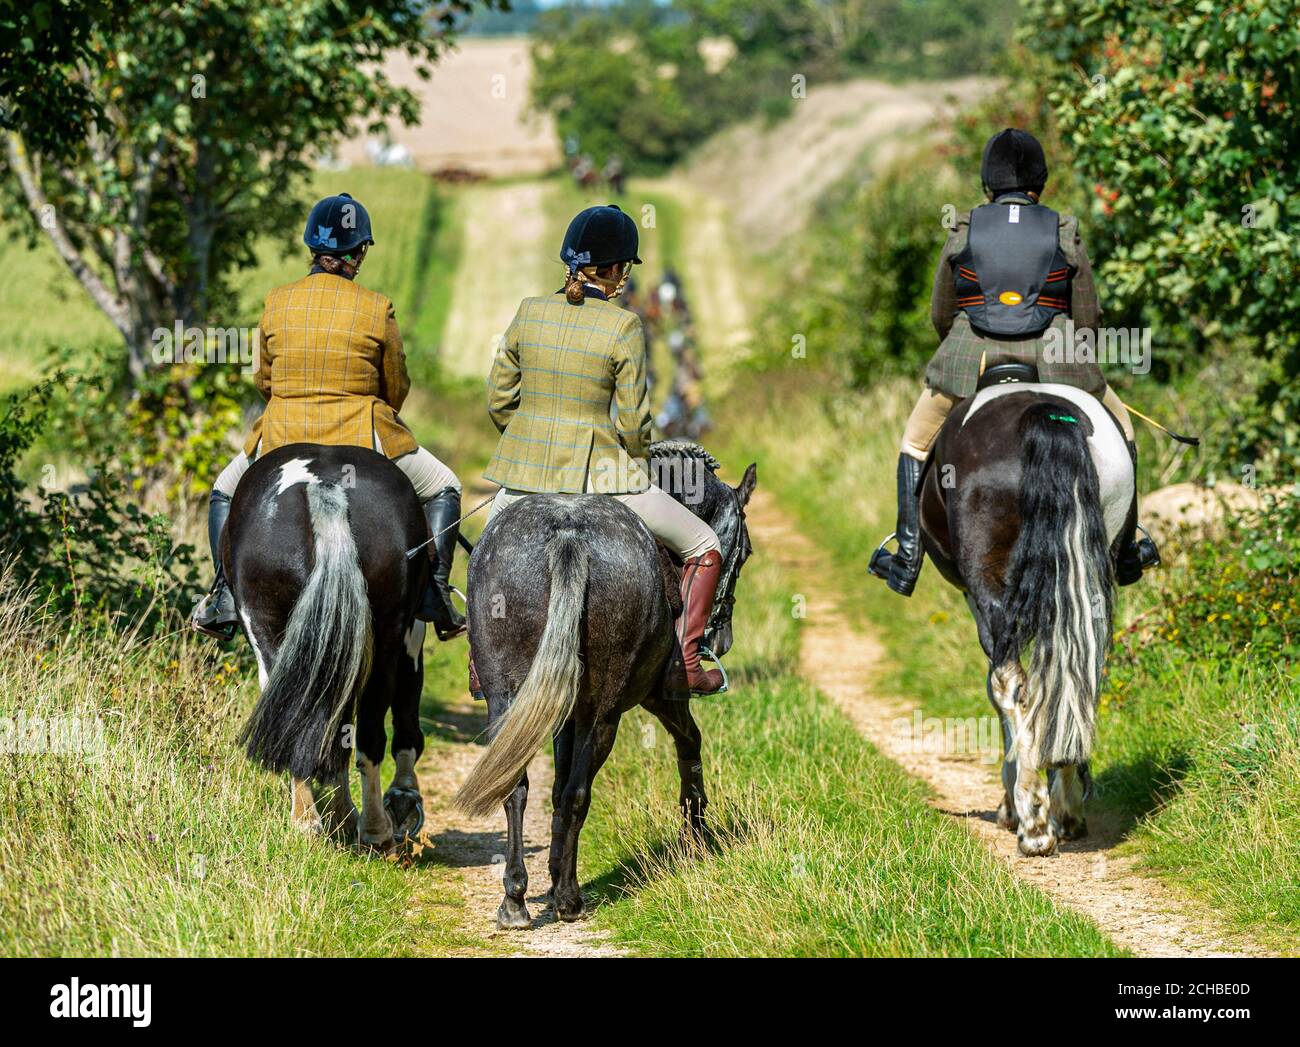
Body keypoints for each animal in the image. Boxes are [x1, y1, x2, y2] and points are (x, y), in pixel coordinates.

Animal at [223, 442, 426, 848]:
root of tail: (324, 487)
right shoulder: (408, 640)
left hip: (271, 630)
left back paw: (311, 821)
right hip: (384, 641)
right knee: (363, 732)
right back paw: (371, 827)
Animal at [920, 371, 1133, 853]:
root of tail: (1044, 412)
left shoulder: (982, 601)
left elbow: (998, 690)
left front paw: (1012, 804)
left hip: (989, 588)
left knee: (1014, 686)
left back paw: (1034, 821)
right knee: (1080, 674)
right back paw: (1067, 810)